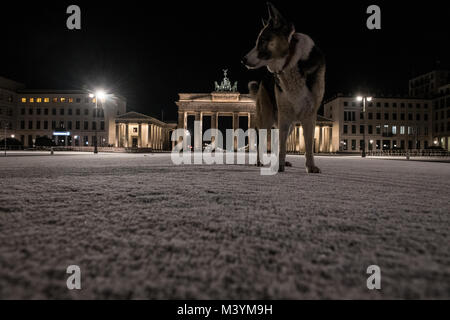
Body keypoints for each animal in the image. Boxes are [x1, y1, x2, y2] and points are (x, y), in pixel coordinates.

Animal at [244, 2, 326, 172]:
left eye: (263, 40)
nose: (243, 59)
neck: (291, 61)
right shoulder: (284, 113)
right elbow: (281, 145)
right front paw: (279, 165)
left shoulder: (310, 114)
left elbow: (308, 145)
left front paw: (311, 166)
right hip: (266, 117)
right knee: (263, 142)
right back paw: (260, 161)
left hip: (290, 124)